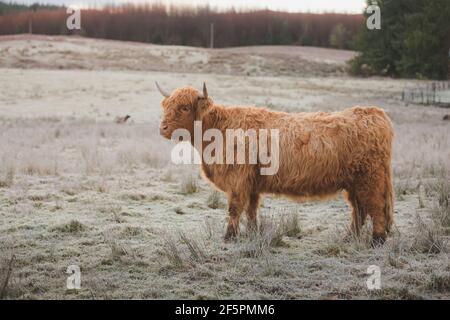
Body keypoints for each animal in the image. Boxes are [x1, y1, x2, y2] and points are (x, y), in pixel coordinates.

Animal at [157, 82, 394, 245]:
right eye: (166, 105)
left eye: (184, 107)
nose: (163, 128)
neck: (218, 131)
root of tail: (374, 112)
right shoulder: (251, 183)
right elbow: (251, 210)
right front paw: (253, 233)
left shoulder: (237, 181)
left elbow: (234, 209)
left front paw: (229, 237)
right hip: (354, 183)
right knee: (359, 210)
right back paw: (349, 238)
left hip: (370, 179)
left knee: (375, 207)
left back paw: (377, 240)